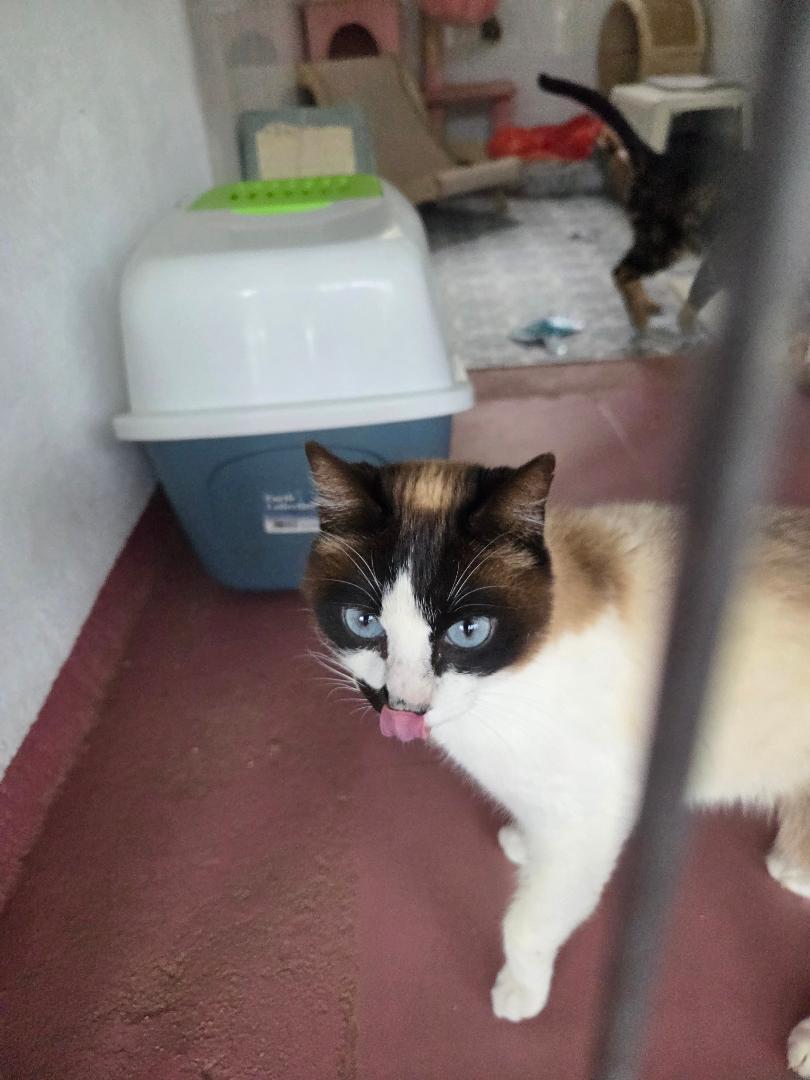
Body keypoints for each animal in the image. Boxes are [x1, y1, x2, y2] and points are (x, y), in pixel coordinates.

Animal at [303, 442, 810, 1077]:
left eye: (469, 631)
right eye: (363, 622)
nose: (403, 705)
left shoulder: (589, 824)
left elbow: (526, 924)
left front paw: (518, 993)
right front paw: (521, 843)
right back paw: (795, 861)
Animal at [538, 73, 740, 334]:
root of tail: (657, 157)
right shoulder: (721, 259)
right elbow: (696, 298)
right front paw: (690, 332)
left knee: (629, 270)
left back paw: (647, 305)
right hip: (665, 243)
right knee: (621, 271)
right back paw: (639, 317)